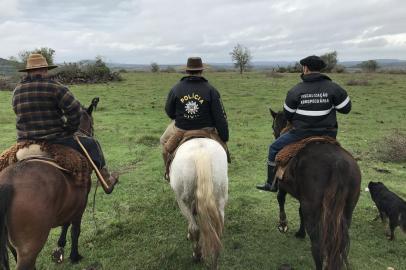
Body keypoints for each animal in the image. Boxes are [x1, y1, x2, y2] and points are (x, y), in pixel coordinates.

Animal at [0, 98, 99, 268]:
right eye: (92, 123)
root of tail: (8, 184)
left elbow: (66, 224)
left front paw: (61, 245)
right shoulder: (79, 205)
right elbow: (74, 230)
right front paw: (74, 255)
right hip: (30, 247)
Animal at [169, 138, 228, 268]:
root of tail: (201, 154)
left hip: (182, 201)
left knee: (194, 228)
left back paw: (196, 255)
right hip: (220, 199)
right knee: (217, 232)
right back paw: (214, 263)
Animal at [270, 108, 362, 270]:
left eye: (272, 126)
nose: (275, 135)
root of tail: (338, 164)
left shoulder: (283, 185)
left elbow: (280, 199)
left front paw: (283, 224)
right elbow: (299, 211)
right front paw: (300, 233)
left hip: (312, 208)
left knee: (318, 245)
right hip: (347, 208)